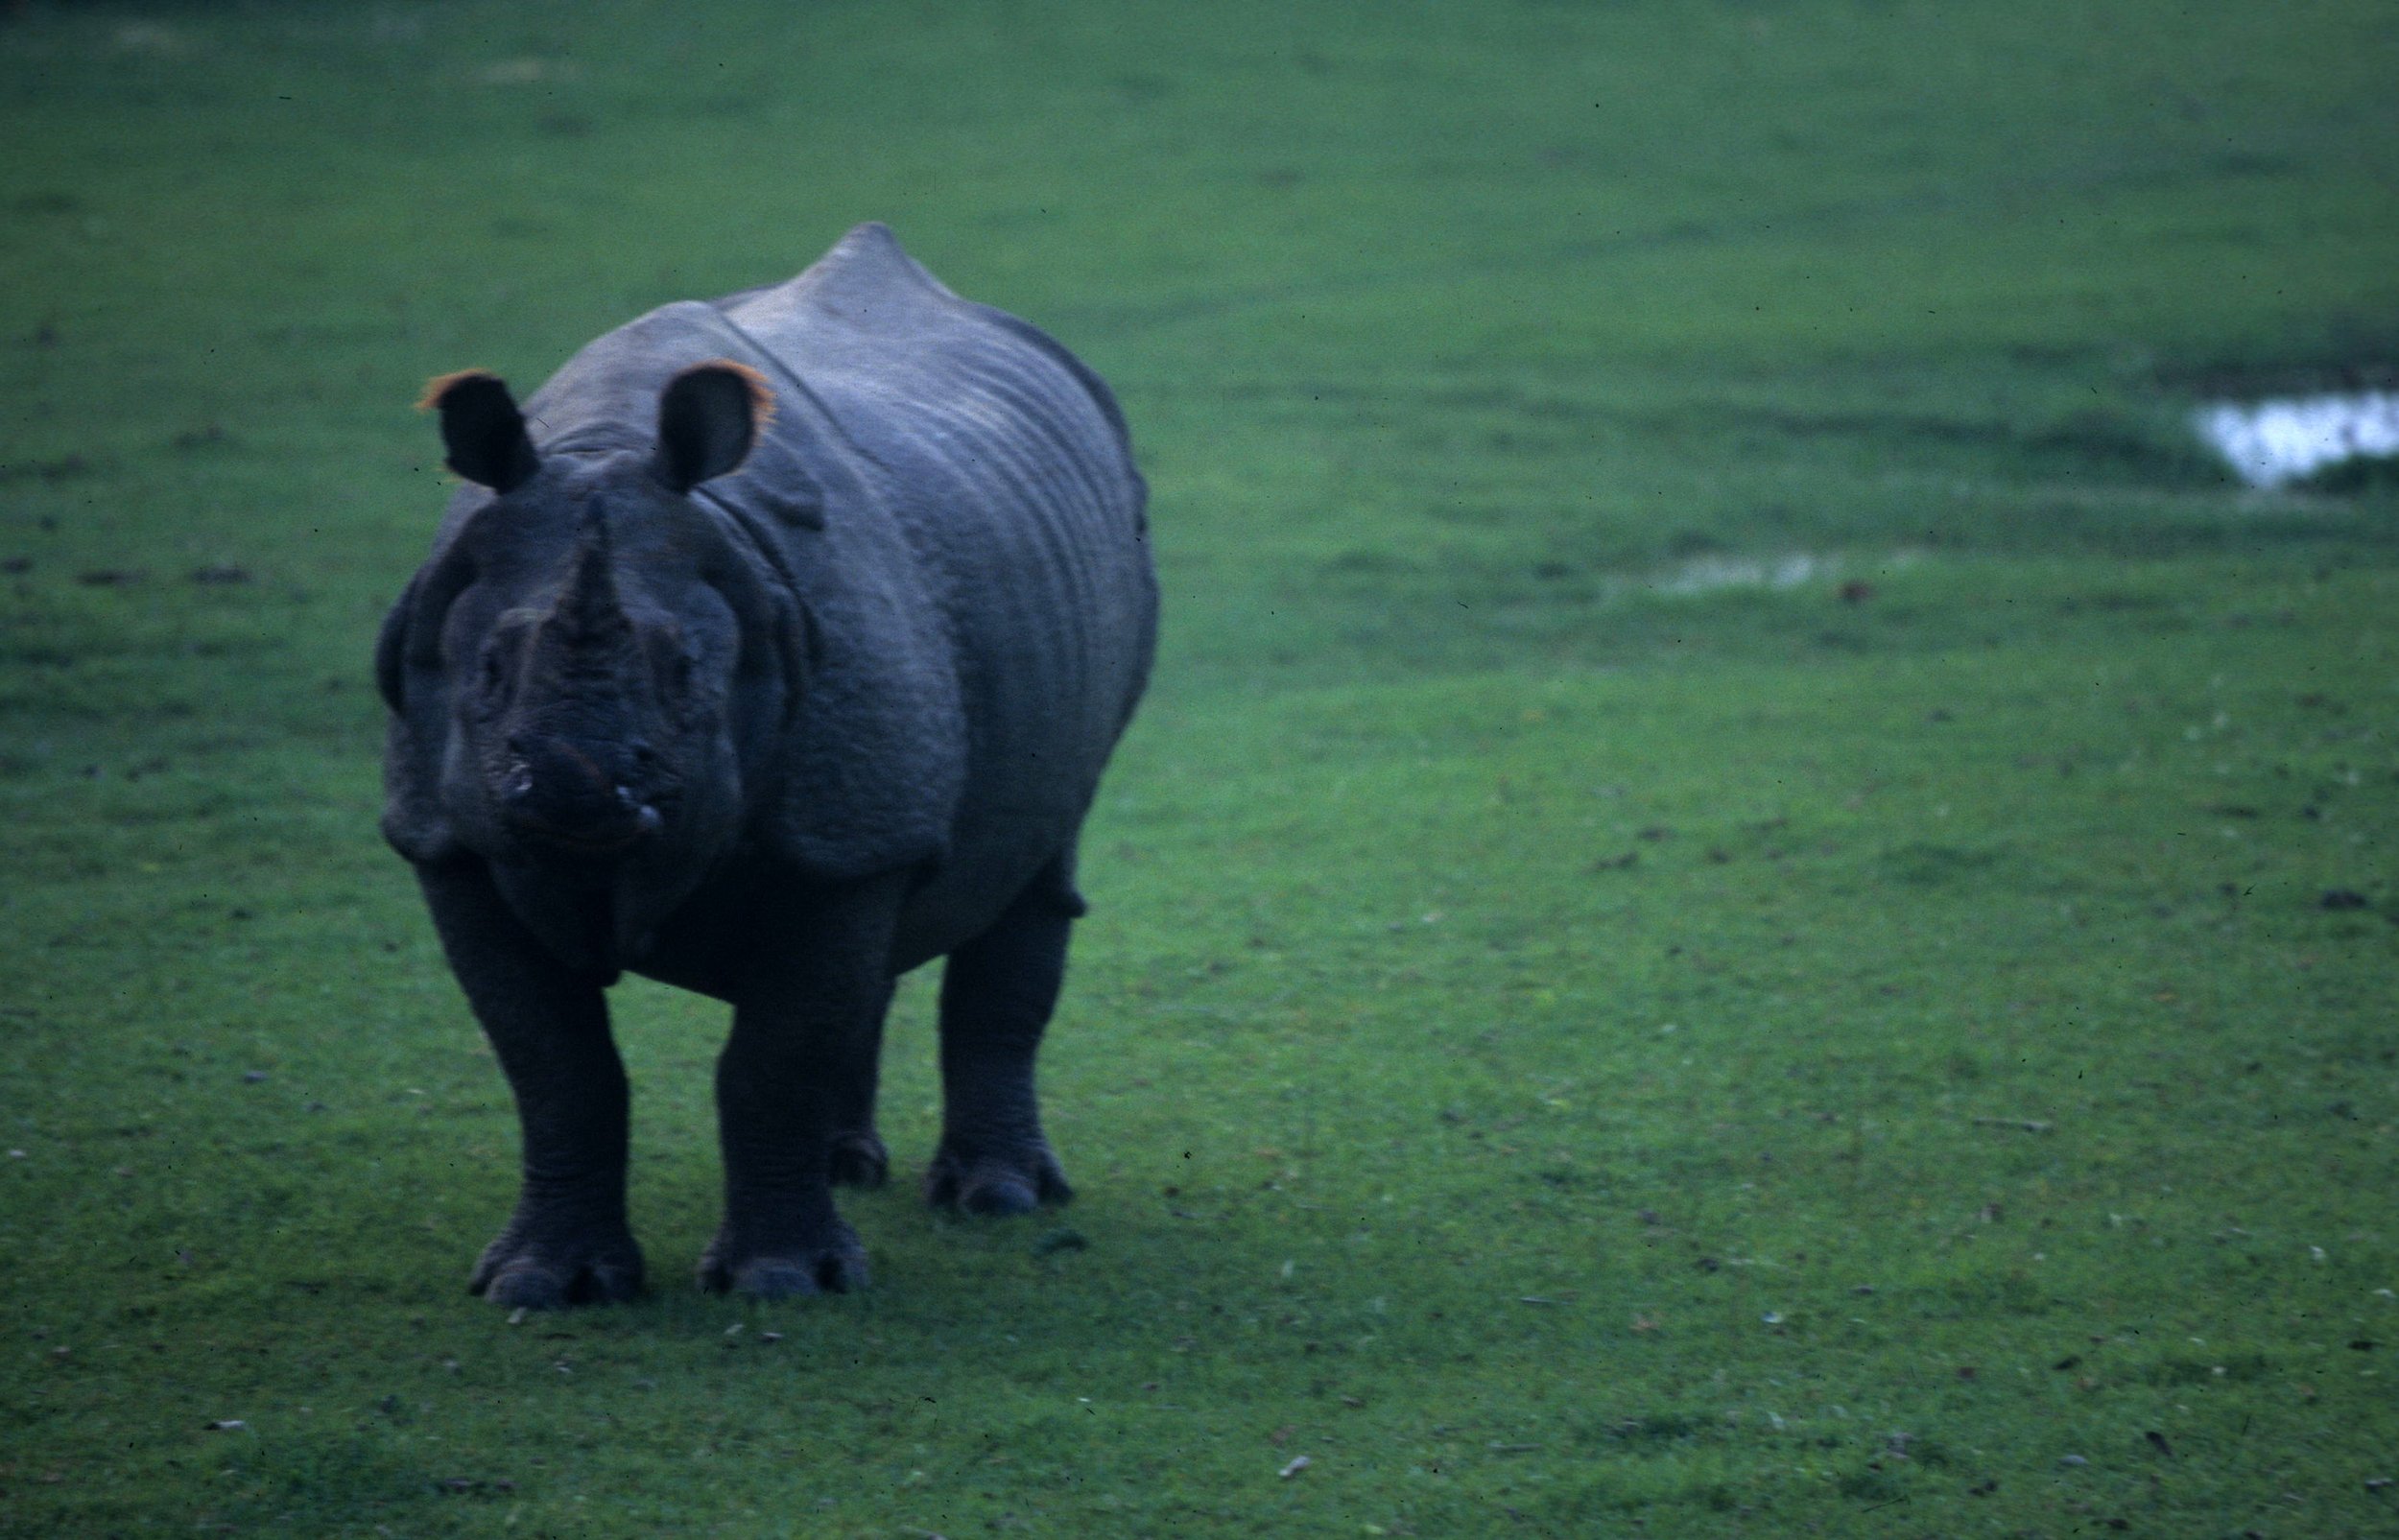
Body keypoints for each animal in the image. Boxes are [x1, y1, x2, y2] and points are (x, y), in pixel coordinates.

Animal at [375, 224, 1156, 1307]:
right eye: (485, 671)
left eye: (688, 673)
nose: (576, 793)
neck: (603, 446)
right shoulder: (446, 836)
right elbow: (552, 1062)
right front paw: (541, 1285)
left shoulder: (847, 817)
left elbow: (773, 1052)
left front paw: (783, 1282)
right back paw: (846, 1169)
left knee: (1031, 867)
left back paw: (997, 1199)